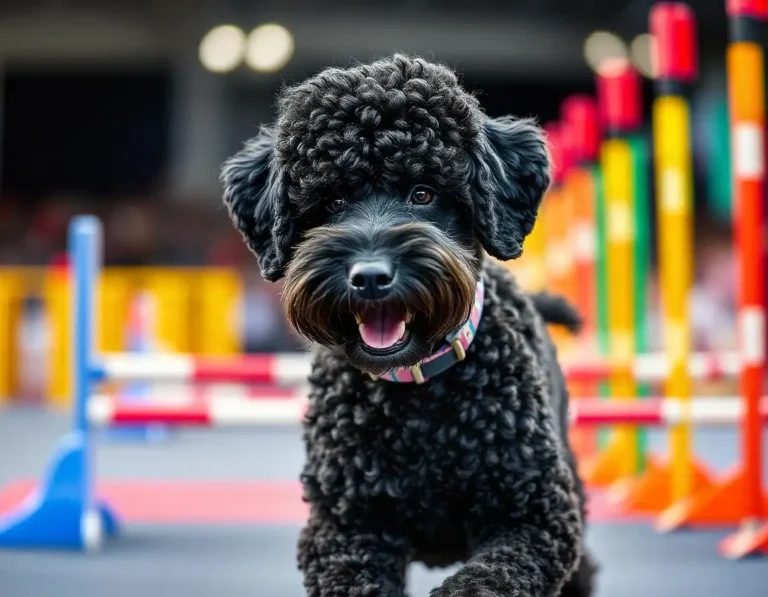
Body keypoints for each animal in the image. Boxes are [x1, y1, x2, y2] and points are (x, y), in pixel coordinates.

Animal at [219, 54, 596, 596]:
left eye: (424, 192)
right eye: (332, 202)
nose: (371, 277)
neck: (417, 401)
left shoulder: (532, 515)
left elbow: (487, 578)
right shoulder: (346, 530)